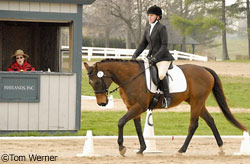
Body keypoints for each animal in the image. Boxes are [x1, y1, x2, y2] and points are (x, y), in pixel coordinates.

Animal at [83, 58, 246, 155]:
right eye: (90, 83)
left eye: (97, 81)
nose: (102, 103)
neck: (131, 78)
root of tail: (205, 69)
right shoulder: (132, 107)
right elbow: (137, 127)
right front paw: (142, 148)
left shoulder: (139, 106)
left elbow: (121, 122)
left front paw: (121, 148)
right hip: (197, 103)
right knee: (210, 120)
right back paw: (221, 148)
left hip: (196, 103)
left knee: (193, 125)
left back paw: (181, 150)